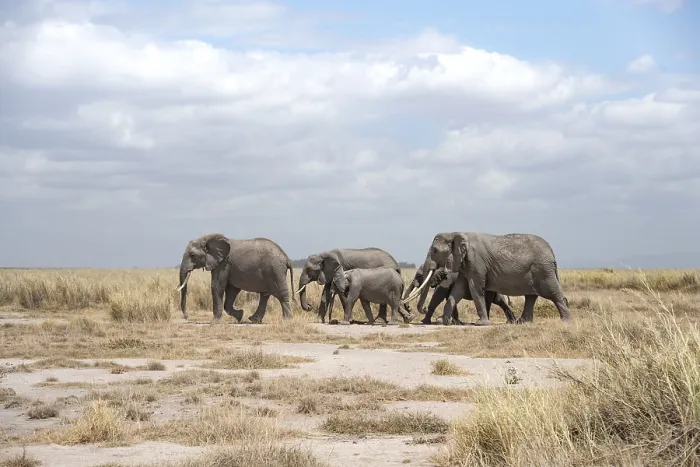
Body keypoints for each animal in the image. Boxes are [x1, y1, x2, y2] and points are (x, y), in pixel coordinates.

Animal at [404, 232, 572, 326]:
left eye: (434, 250)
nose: (422, 309)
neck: (455, 233)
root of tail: (552, 251)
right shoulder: (464, 265)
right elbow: (457, 291)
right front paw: (445, 322)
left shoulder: (476, 262)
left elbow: (474, 288)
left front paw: (481, 324)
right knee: (530, 296)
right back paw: (521, 322)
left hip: (543, 270)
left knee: (552, 293)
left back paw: (565, 321)